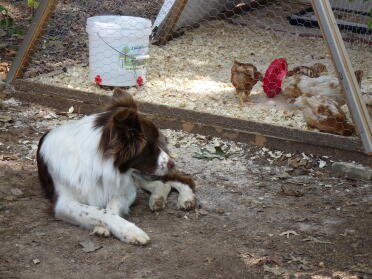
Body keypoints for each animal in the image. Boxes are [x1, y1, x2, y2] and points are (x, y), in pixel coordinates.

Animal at [36, 89, 196, 245]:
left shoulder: (125, 188)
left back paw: (186, 198)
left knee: (181, 179)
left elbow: (110, 208)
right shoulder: (63, 203)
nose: (172, 162)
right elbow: (97, 211)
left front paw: (125, 230)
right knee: (162, 184)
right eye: (150, 146)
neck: (96, 164)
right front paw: (117, 229)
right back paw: (158, 198)